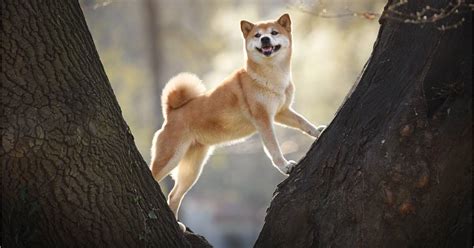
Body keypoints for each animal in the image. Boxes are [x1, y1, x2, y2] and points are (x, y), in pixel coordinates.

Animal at [149, 13, 326, 231]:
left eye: (274, 32)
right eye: (257, 35)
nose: (265, 39)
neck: (270, 75)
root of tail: (172, 112)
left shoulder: (281, 112)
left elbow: (302, 122)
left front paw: (317, 131)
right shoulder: (263, 119)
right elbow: (274, 148)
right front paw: (284, 166)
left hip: (192, 169)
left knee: (174, 195)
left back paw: (178, 226)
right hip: (170, 157)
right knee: (156, 176)